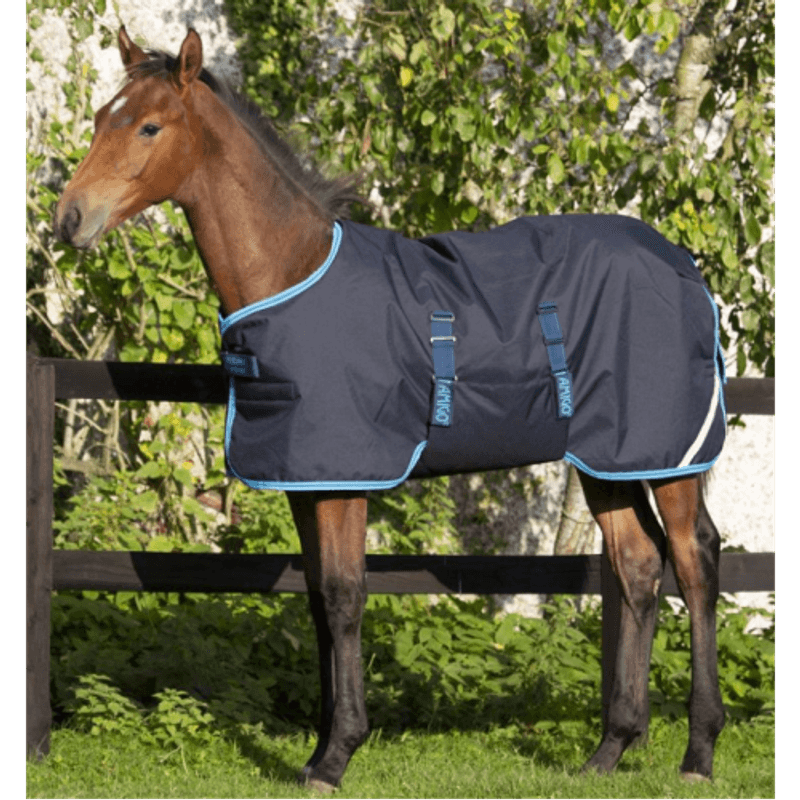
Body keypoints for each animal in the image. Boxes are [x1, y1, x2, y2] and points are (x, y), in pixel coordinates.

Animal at [54, 27, 727, 792]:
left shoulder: (347, 480)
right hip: (606, 460)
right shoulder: (307, 482)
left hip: (668, 456)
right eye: (101, 117)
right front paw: (318, 750)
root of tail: (683, 264)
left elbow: (346, 596)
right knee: (638, 567)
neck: (292, 272)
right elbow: (317, 602)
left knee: (695, 562)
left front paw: (338, 755)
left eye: (149, 126)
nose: (69, 218)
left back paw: (698, 752)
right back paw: (609, 750)